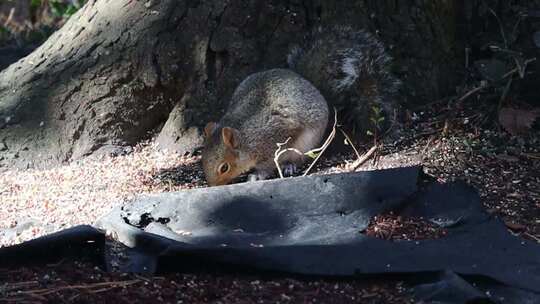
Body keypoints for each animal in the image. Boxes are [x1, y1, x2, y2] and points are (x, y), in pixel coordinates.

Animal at [202, 26, 400, 185]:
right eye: (202, 159)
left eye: (224, 168)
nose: (212, 186)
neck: (247, 137)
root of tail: (310, 85)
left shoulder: (272, 141)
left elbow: (267, 165)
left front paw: (257, 175)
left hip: (305, 144)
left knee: (297, 158)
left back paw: (289, 166)